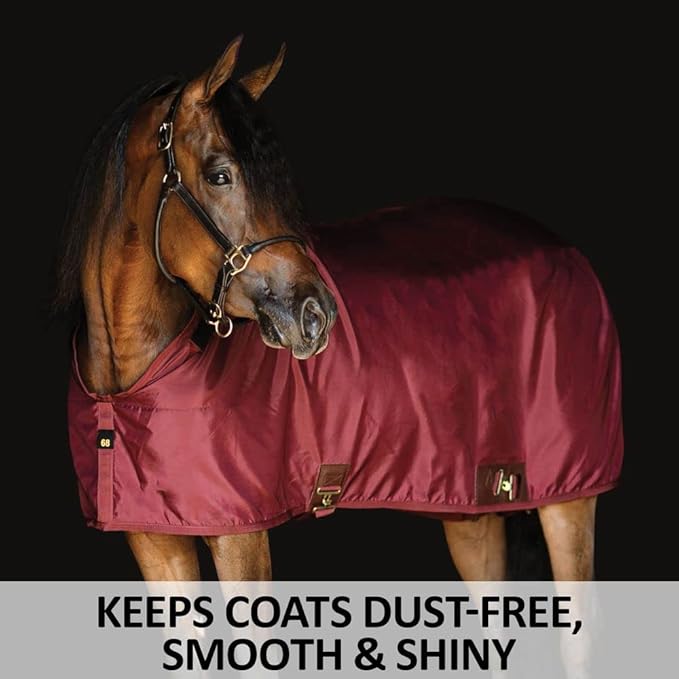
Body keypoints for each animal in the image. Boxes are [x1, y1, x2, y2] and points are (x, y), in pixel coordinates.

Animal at [56, 37, 622, 584]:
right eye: (219, 176)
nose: (315, 313)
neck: (133, 379)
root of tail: (564, 251)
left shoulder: (241, 537)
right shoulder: (156, 542)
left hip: (567, 503)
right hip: (471, 511)